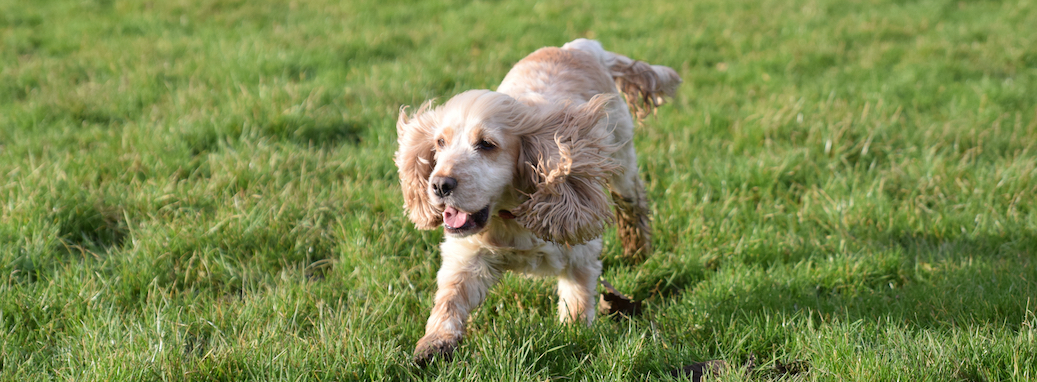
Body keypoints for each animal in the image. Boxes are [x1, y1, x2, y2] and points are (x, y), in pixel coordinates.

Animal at [391, 38, 676, 363]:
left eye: (486, 144)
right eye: (440, 142)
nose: (439, 184)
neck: (509, 214)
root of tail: (582, 46)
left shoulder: (579, 252)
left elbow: (577, 299)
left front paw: (574, 337)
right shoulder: (466, 256)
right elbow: (450, 298)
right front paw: (435, 343)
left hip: (622, 161)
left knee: (632, 204)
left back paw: (637, 251)